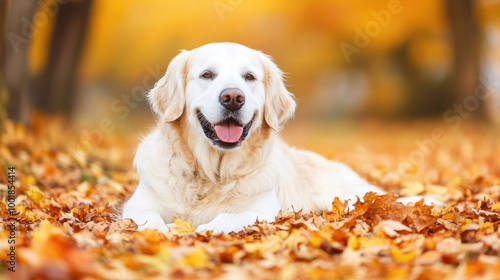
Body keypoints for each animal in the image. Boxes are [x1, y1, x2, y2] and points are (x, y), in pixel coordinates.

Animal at [121, 42, 434, 234]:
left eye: (249, 77)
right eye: (207, 74)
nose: (233, 98)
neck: (212, 174)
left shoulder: (263, 209)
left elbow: (228, 216)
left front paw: (202, 229)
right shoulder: (137, 204)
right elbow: (149, 221)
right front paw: (165, 231)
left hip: (341, 195)